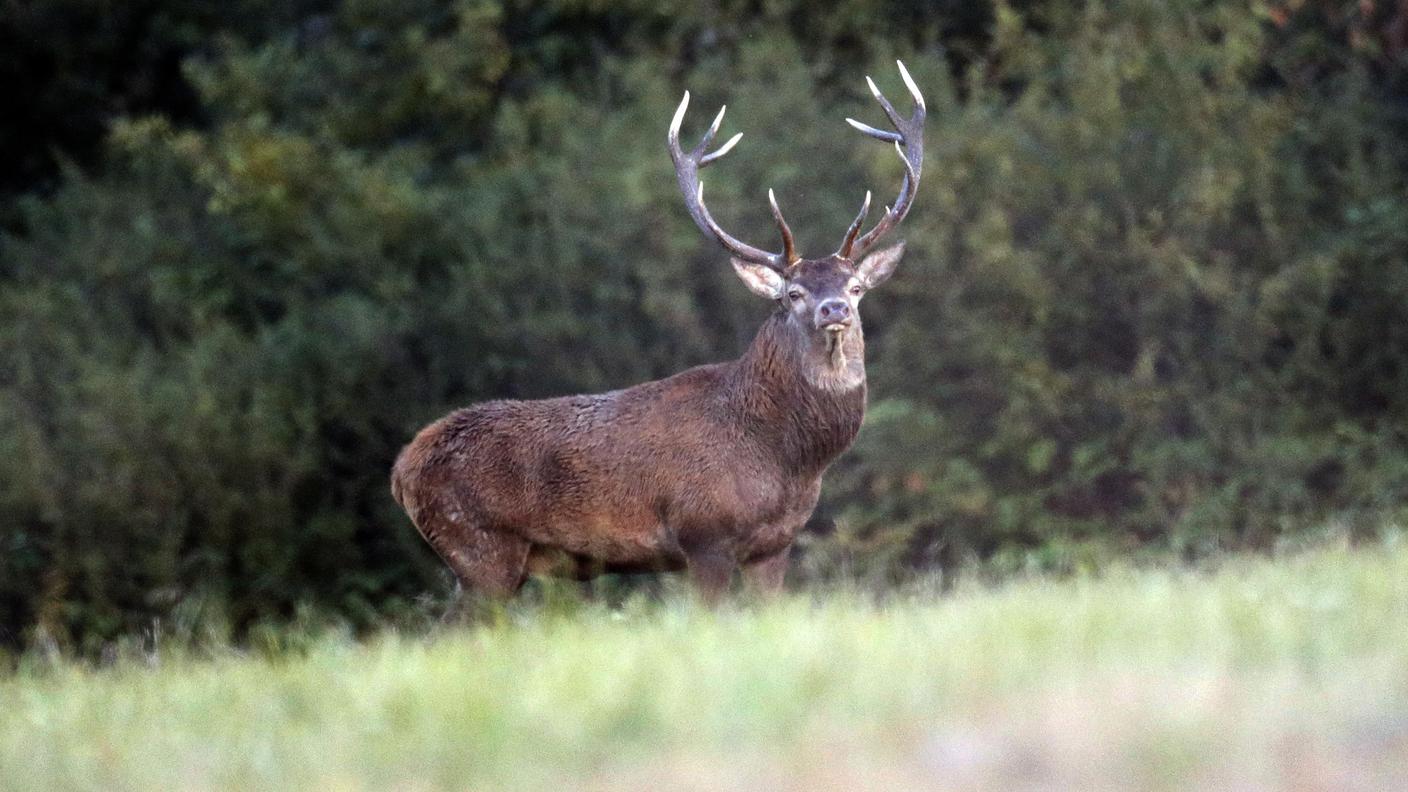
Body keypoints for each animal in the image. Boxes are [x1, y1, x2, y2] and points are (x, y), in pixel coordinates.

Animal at [394, 63, 923, 603]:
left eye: (856, 287)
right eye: (792, 294)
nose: (833, 308)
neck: (786, 460)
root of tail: (403, 469)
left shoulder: (775, 546)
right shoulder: (704, 532)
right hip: (478, 548)